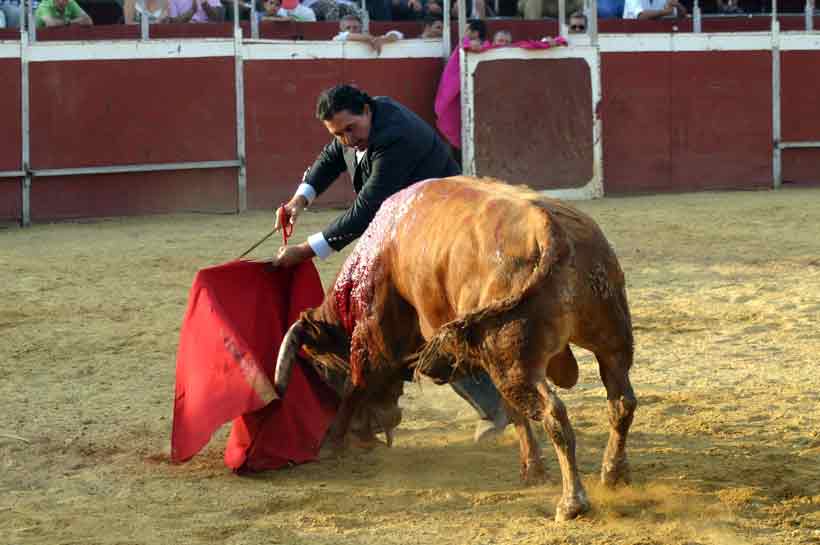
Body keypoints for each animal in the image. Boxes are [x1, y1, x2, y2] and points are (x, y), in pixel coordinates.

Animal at [278, 176, 636, 520]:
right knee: (621, 402)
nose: (372, 430)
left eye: (322, 368)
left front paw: (331, 442)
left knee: (553, 414)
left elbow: (357, 385)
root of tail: (555, 235)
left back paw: (572, 502)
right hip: (609, 340)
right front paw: (532, 469)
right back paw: (613, 475)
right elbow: (511, 413)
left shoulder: (375, 335)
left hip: (514, 364)